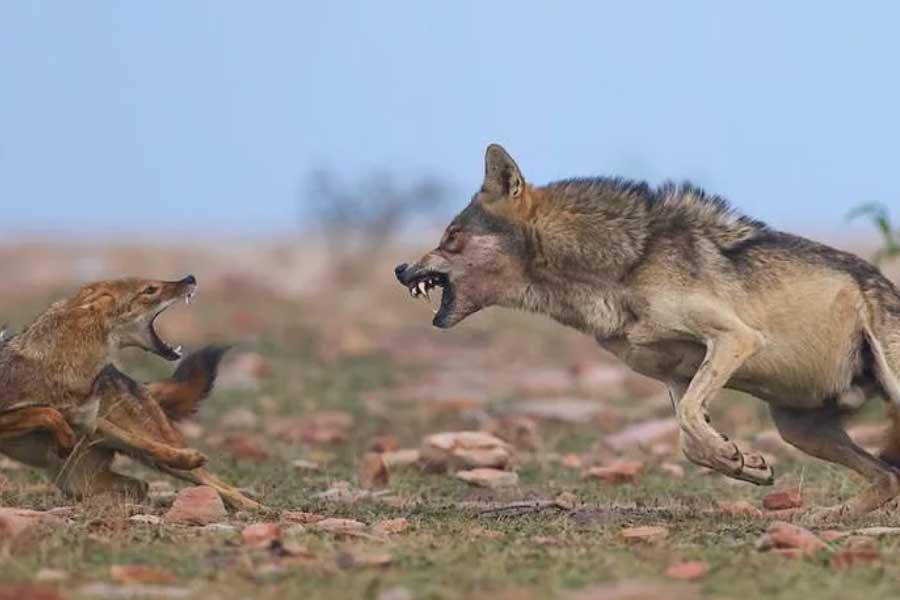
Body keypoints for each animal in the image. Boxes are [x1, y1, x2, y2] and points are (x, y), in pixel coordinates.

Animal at [395, 144, 900, 520]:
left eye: (452, 236)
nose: (400, 269)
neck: (623, 268)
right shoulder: (675, 377)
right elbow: (689, 438)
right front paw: (743, 462)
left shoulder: (736, 338)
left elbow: (690, 420)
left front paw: (734, 456)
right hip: (798, 429)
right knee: (889, 477)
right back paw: (831, 516)